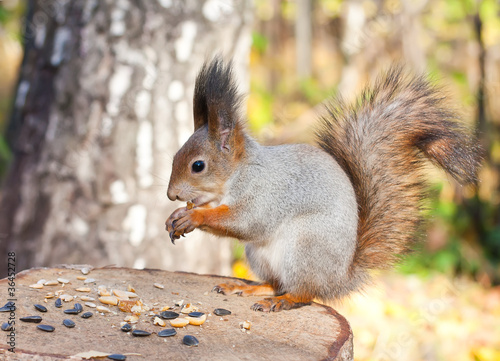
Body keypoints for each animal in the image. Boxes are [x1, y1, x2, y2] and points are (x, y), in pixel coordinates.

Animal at [166, 55, 482, 310]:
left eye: (198, 166)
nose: (171, 195)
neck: (238, 174)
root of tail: (339, 279)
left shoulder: (264, 195)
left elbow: (246, 222)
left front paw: (194, 216)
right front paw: (176, 217)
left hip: (305, 246)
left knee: (304, 293)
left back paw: (282, 302)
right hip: (260, 255)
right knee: (277, 283)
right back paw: (246, 287)